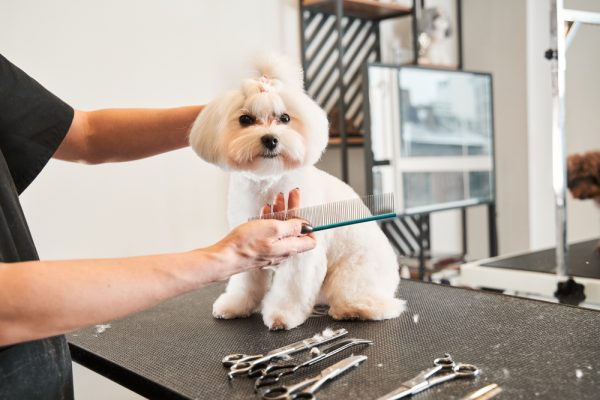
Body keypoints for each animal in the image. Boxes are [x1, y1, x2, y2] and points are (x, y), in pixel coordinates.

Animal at [190, 56, 406, 332]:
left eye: (284, 118)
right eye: (246, 119)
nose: (270, 139)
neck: (269, 182)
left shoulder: (303, 248)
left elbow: (291, 287)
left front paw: (282, 315)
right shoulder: (248, 239)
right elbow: (246, 280)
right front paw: (236, 305)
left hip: (355, 272)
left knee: (376, 301)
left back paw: (354, 309)